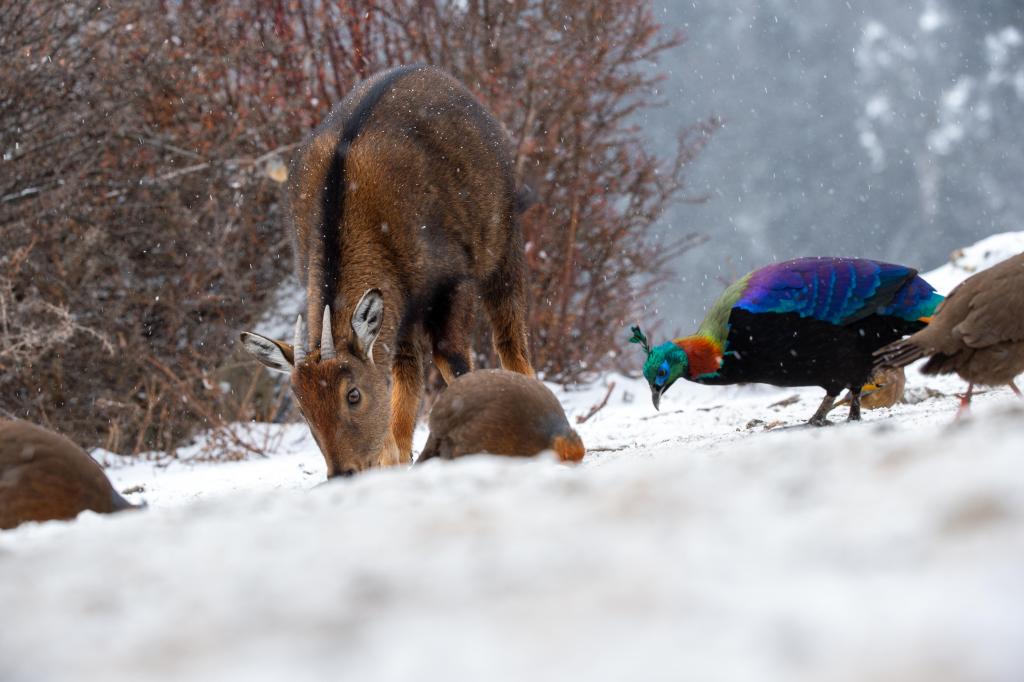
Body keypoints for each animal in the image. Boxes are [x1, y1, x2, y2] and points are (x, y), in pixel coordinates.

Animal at [240, 65, 534, 479]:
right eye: (302, 407)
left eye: (353, 394)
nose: (343, 472)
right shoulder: (401, 300)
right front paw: (390, 458)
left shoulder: (451, 282)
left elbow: (454, 361)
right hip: (404, 310)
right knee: (408, 368)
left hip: (502, 245)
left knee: (510, 339)